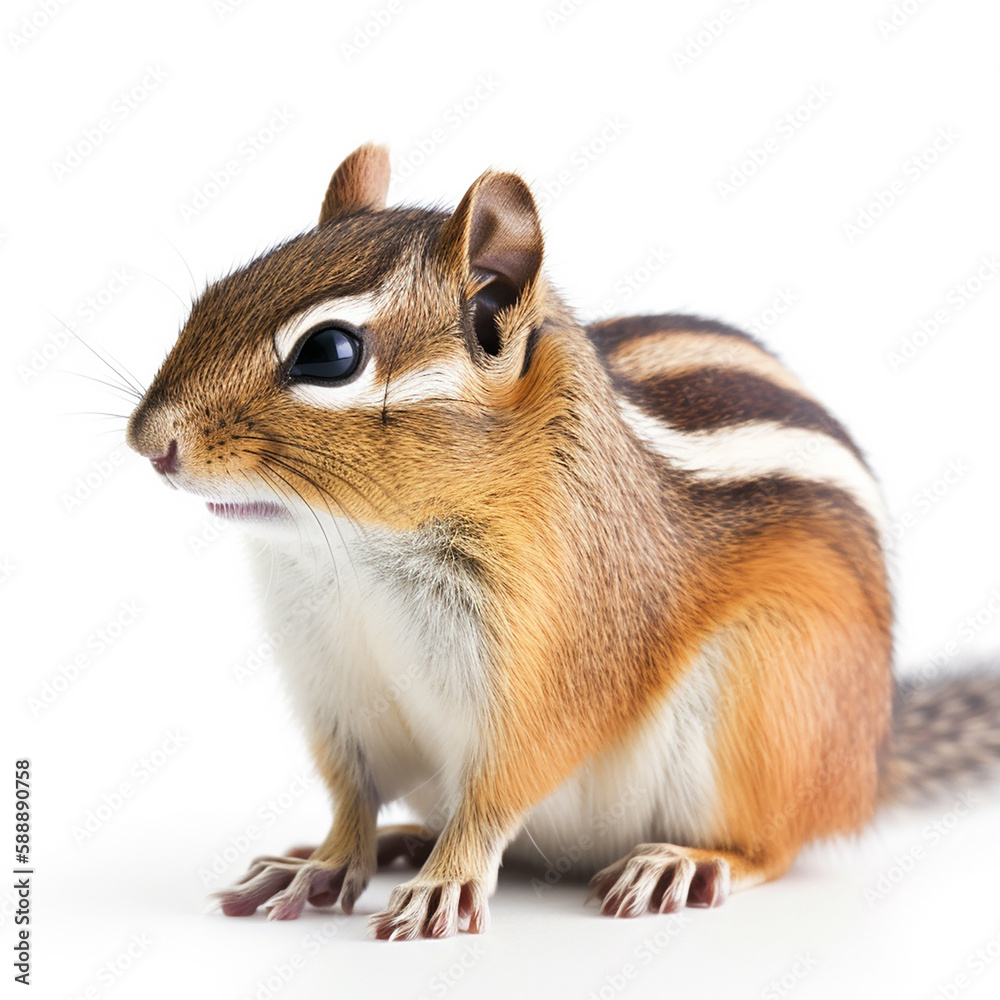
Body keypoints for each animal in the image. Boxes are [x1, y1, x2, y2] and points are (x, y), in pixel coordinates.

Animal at [126, 143, 1000, 940]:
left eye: (329, 352)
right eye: (213, 297)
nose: (148, 442)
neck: (358, 551)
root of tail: (870, 762)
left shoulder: (551, 669)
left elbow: (500, 791)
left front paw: (446, 881)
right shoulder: (335, 691)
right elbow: (352, 796)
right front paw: (323, 862)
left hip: (767, 709)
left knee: (774, 846)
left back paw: (682, 863)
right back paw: (407, 838)